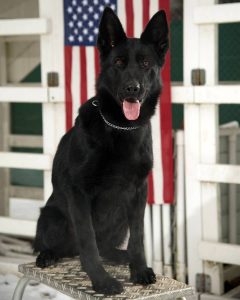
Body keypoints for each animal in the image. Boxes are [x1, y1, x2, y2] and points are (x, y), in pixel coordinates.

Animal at [33, 6, 169, 296]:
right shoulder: (79, 192)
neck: (120, 128)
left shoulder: (139, 191)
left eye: (145, 64)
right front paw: (101, 280)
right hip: (52, 215)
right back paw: (48, 254)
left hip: (120, 218)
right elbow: (88, 241)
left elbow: (138, 237)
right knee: (55, 245)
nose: (132, 89)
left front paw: (139, 269)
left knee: (108, 246)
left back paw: (121, 255)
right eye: (118, 63)